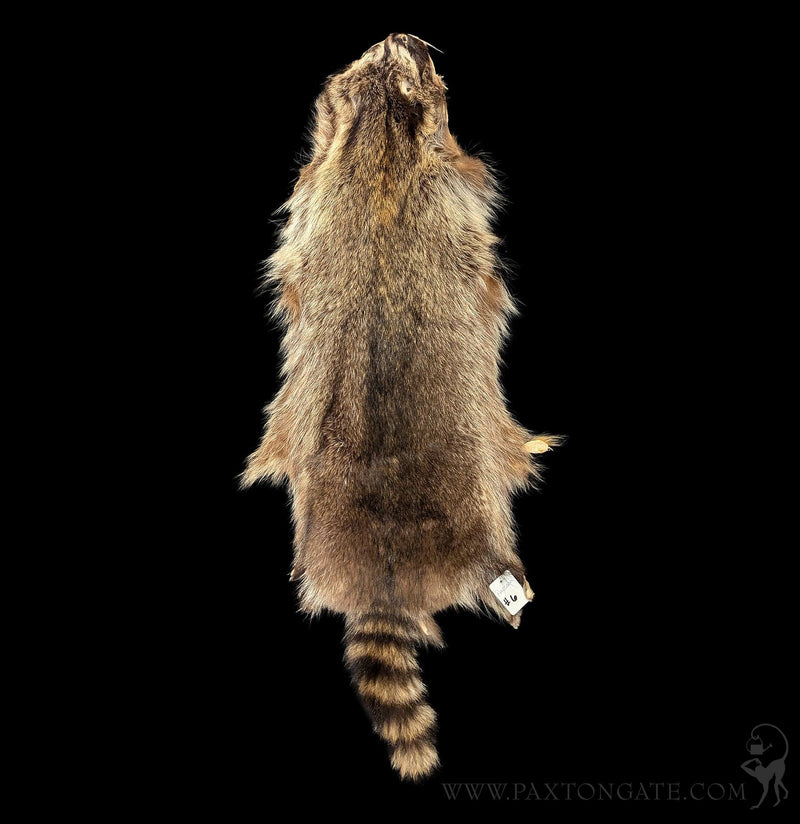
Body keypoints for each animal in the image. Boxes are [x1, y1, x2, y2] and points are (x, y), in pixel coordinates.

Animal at [242, 33, 559, 780]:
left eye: (374, 57)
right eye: (425, 66)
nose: (404, 35)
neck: (381, 139)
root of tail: (382, 582)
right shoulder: (446, 184)